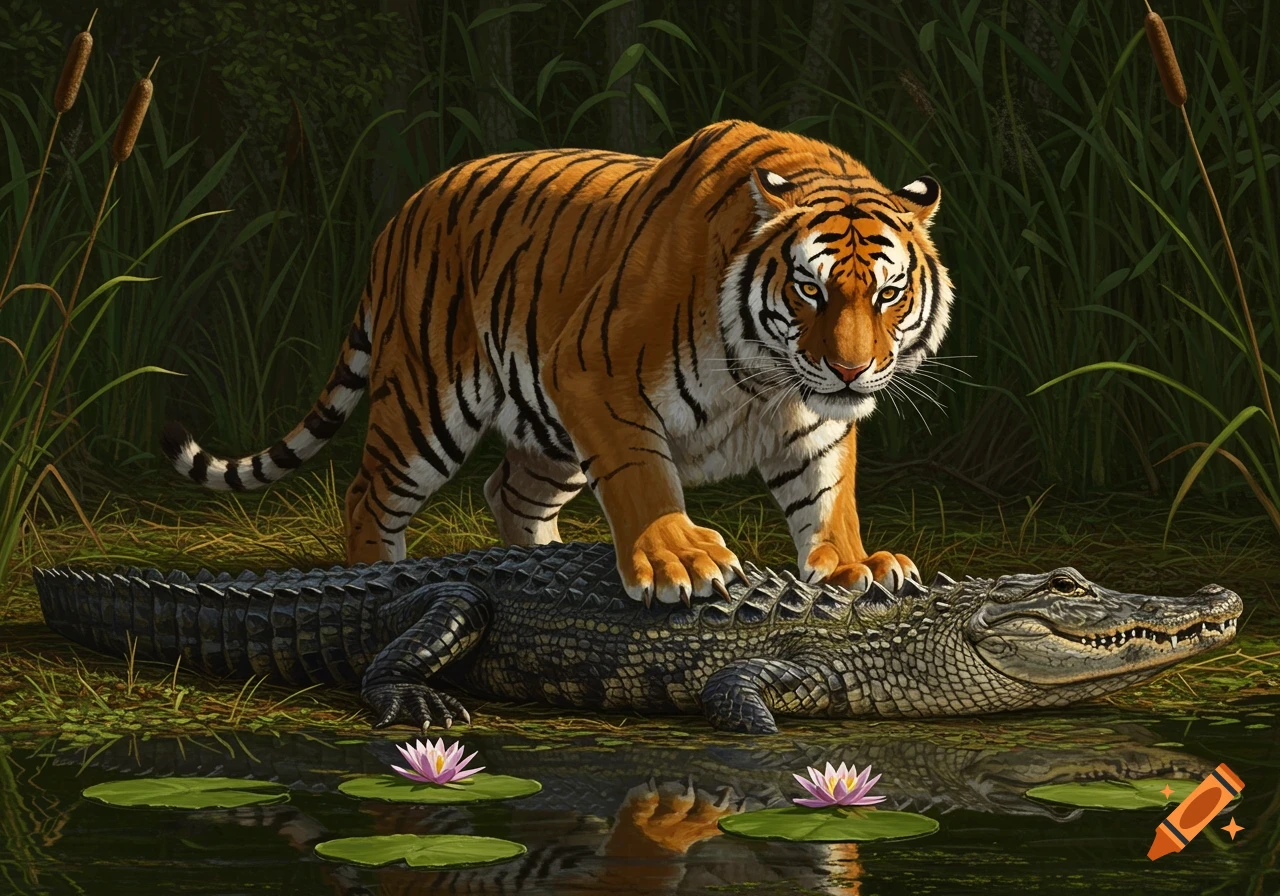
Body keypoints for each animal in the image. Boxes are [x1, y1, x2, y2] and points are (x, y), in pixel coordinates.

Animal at [161, 119, 954, 606]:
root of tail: (406, 208)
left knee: (508, 493)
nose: (850, 372)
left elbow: (829, 496)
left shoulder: (812, 423)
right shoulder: (595, 373)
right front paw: (678, 560)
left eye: (888, 293)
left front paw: (855, 565)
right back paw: (380, 580)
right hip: (425, 405)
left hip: (552, 436)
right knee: (369, 498)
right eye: (809, 288)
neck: (766, 377)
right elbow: (643, 480)